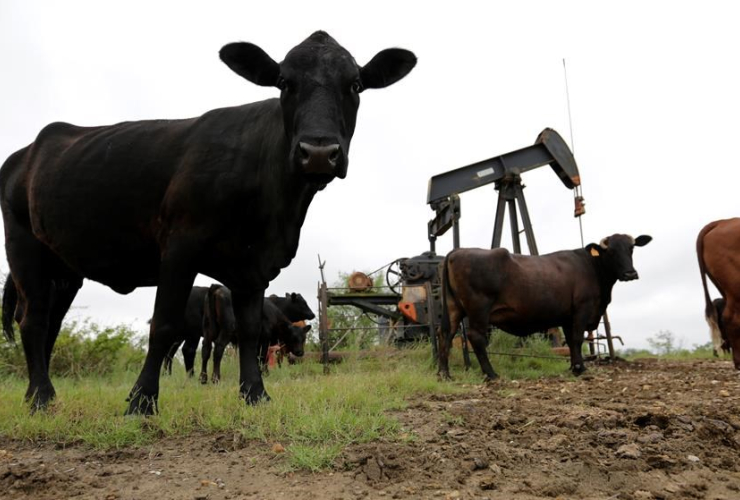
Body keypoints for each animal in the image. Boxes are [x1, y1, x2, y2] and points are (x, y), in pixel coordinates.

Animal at [162, 288, 316, 374]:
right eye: (302, 303)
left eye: (304, 338)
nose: (313, 314)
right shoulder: (265, 339)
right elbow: (263, 356)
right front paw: (265, 373)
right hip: (197, 332)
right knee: (189, 350)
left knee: (173, 352)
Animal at [436, 233, 652, 378]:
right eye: (611, 251)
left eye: (631, 248)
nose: (630, 273)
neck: (592, 267)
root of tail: (457, 251)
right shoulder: (582, 309)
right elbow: (577, 339)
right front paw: (581, 369)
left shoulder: (567, 316)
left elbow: (571, 341)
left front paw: (573, 367)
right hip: (479, 309)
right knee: (476, 337)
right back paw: (491, 374)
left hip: (454, 308)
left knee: (446, 334)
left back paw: (444, 373)